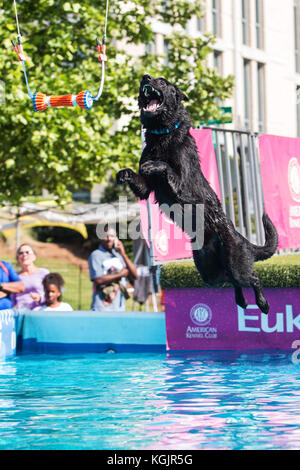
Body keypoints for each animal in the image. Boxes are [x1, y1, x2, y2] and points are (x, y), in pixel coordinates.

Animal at [116, 75, 278, 314]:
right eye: (149, 78)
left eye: (161, 81)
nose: (145, 77)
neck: (163, 134)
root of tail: (242, 238)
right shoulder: (146, 189)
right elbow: (139, 179)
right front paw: (124, 173)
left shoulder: (183, 187)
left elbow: (165, 167)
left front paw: (154, 164)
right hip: (208, 272)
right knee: (231, 280)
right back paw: (241, 301)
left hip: (235, 261)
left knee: (252, 277)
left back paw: (263, 303)